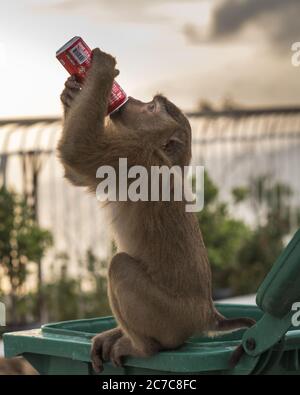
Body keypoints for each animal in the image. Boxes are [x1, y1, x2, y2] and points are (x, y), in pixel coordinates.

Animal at [57, 48, 254, 372]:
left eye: (151, 108)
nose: (127, 100)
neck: (158, 154)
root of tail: (207, 313)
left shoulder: (132, 156)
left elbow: (78, 151)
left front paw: (100, 70)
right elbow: (76, 169)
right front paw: (72, 89)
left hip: (169, 316)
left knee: (120, 267)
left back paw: (142, 347)